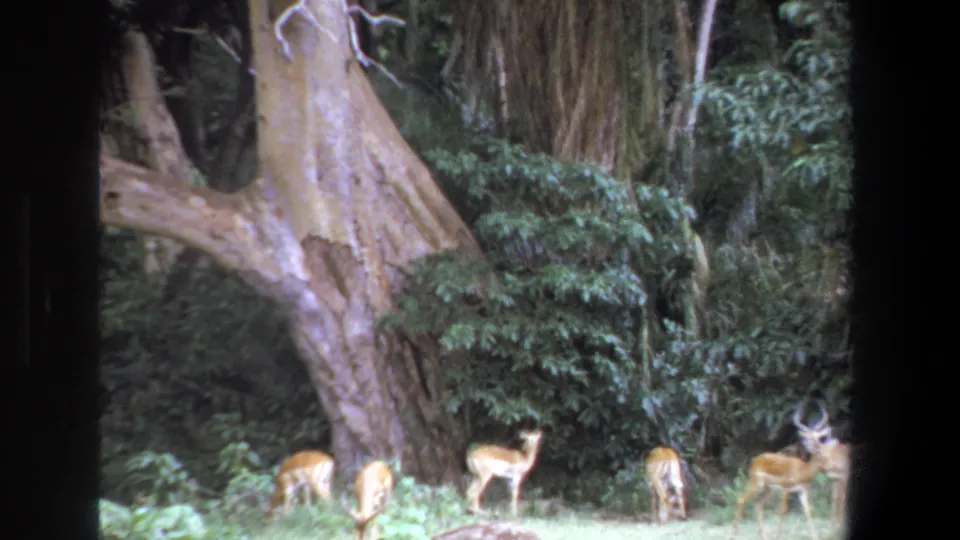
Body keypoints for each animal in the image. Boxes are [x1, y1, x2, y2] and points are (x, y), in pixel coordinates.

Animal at [731, 407, 834, 540]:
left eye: (819, 437)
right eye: (808, 438)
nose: (817, 448)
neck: (803, 470)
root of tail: (755, 460)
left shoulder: (803, 491)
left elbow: (808, 512)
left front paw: (816, 537)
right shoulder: (786, 488)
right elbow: (783, 510)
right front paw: (778, 536)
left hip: (768, 488)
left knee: (758, 505)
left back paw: (763, 536)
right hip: (756, 483)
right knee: (741, 499)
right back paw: (733, 534)